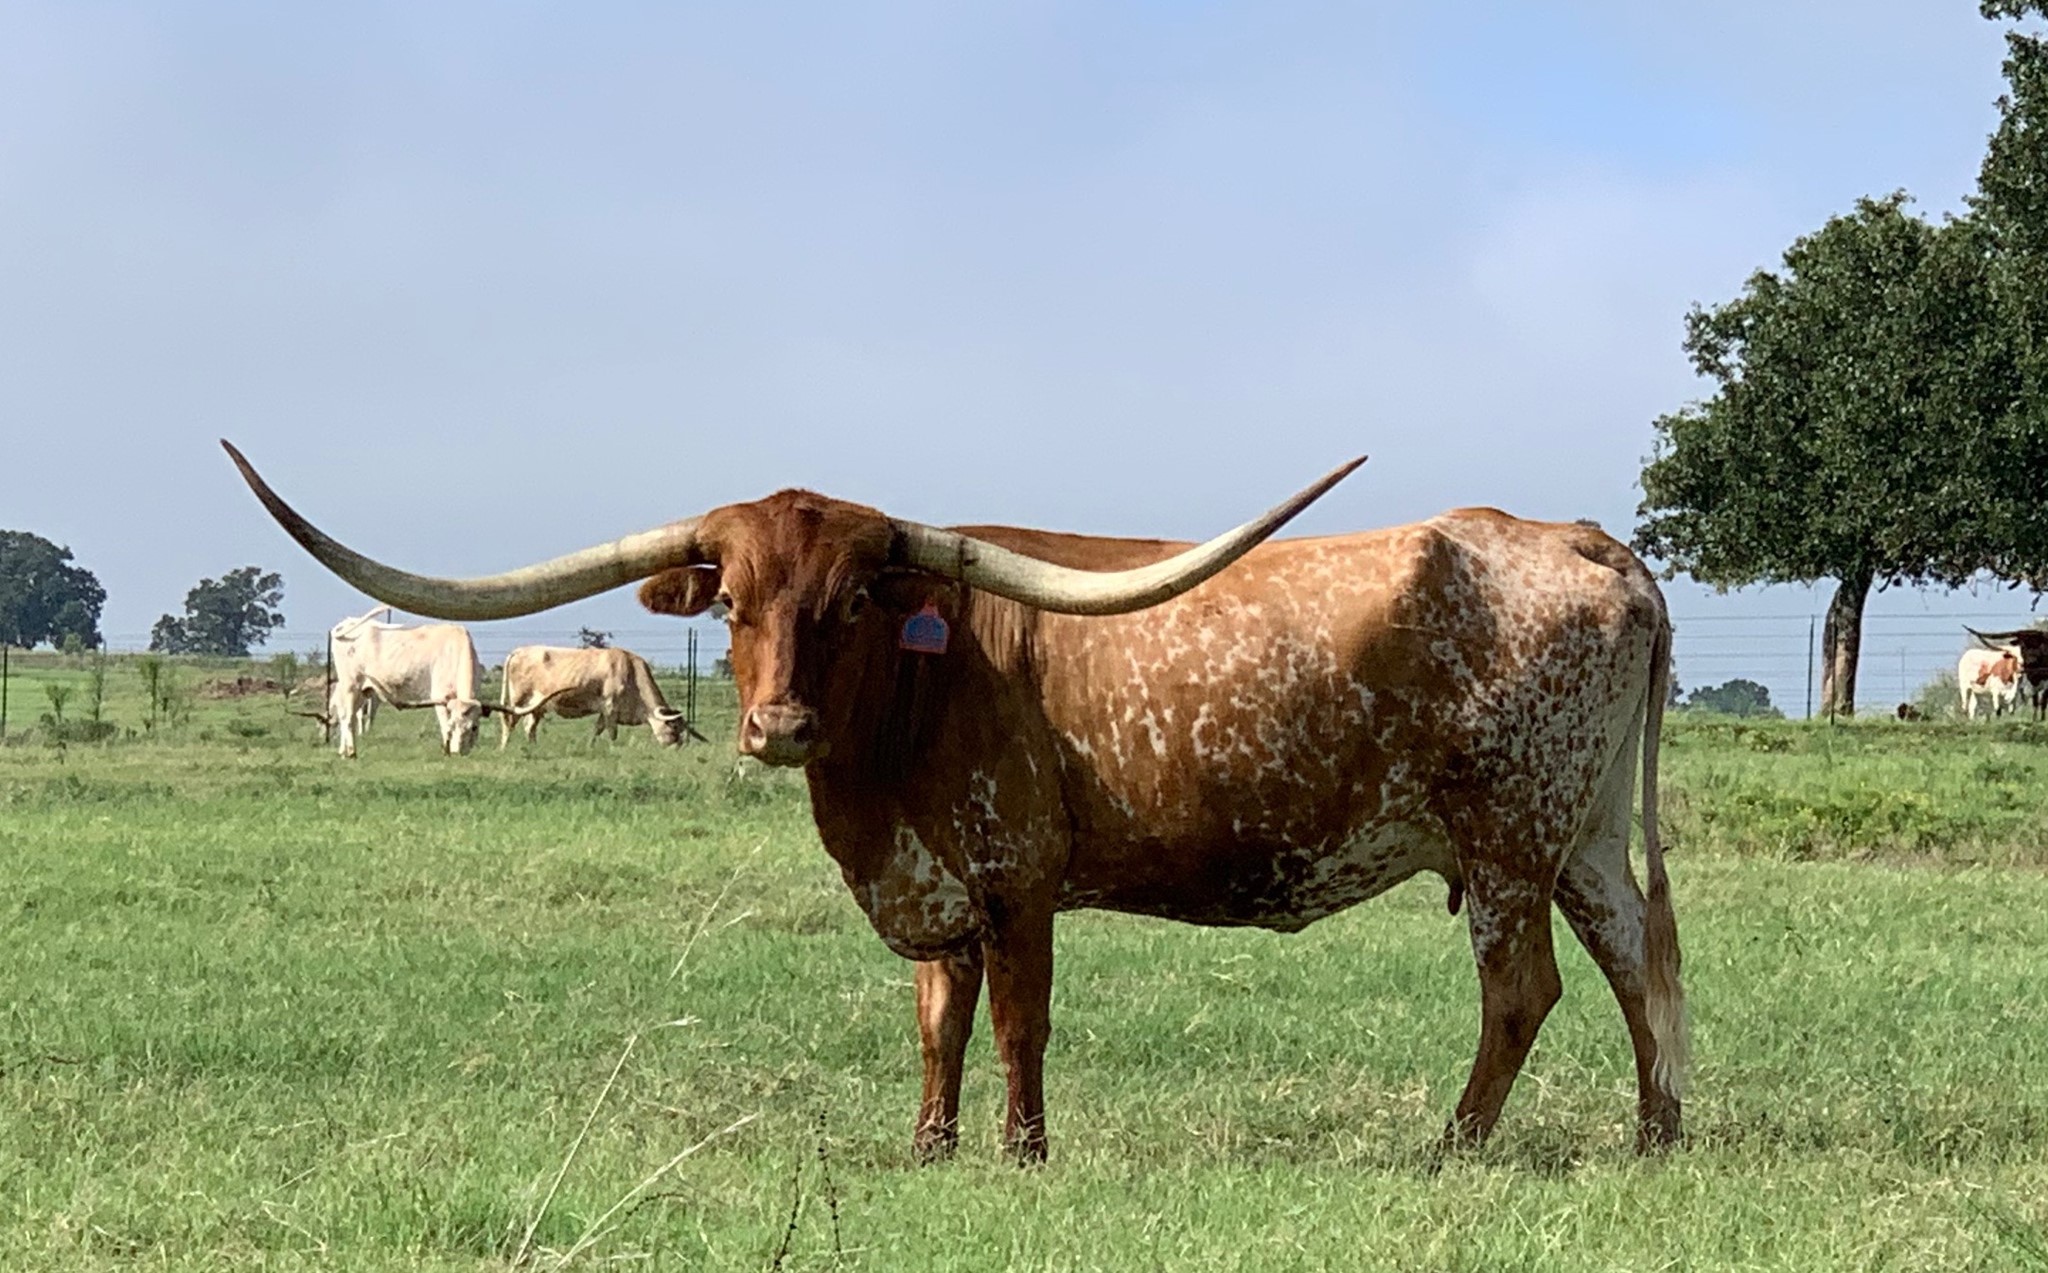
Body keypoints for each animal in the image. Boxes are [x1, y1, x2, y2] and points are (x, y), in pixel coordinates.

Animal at [327, 614, 493, 757]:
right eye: (453, 725)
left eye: (474, 727)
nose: (459, 752)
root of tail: (349, 622)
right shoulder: (440, 697)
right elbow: (444, 727)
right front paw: (446, 751)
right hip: (350, 685)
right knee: (348, 718)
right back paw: (351, 752)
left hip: (362, 691)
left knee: (348, 717)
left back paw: (343, 751)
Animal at [498, 645, 693, 748]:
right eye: (674, 729)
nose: (678, 747)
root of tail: (520, 650)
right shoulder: (610, 708)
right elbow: (612, 733)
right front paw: (613, 748)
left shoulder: (604, 712)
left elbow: (597, 729)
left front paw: (590, 746)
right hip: (518, 700)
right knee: (510, 721)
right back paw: (504, 747)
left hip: (537, 706)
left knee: (529, 726)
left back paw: (534, 747)